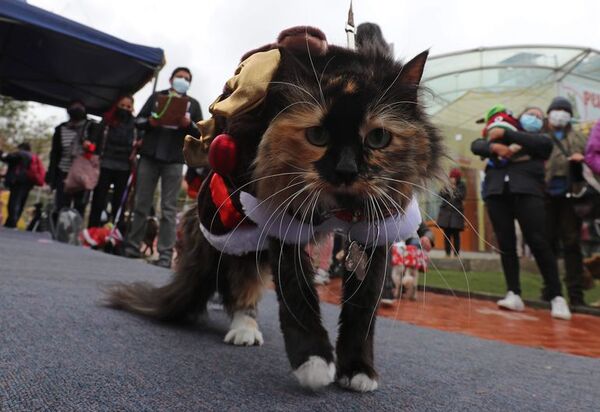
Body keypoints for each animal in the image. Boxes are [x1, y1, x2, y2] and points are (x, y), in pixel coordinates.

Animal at [104, 24, 440, 392]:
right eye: (317, 135)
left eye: (378, 138)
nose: (346, 170)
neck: (338, 208)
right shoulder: (283, 221)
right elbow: (297, 294)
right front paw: (313, 361)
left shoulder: (376, 227)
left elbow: (362, 309)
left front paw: (357, 370)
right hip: (237, 228)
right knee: (240, 284)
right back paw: (244, 328)